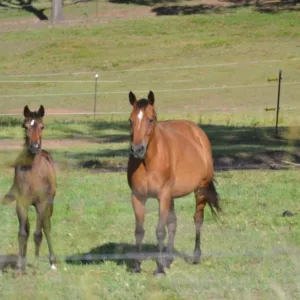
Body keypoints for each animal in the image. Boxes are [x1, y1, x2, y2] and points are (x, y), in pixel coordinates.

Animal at [2, 105, 56, 274]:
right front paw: (20, 267)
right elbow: (22, 233)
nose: (34, 147)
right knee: (28, 227)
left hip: (48, 206)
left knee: (46, 227)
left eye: (42, 126)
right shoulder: (21, 203)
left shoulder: (41, 204)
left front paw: (36, 266)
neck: (33, 174)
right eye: (24, 126)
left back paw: (51, 262)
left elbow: (38, 234)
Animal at [126, 90, 220, 276]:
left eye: (150, 119)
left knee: (198, 219)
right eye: (130, 120)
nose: (137, 149)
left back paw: (195, 257)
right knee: (173, 223)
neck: (148, 162)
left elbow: (160, 231)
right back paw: (168, 259)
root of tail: (198, 132)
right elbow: (139, 230)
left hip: (200, 189)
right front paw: (137, 266)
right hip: (172, 197)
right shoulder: (138, 197)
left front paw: (159, 269)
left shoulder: (163, 196)